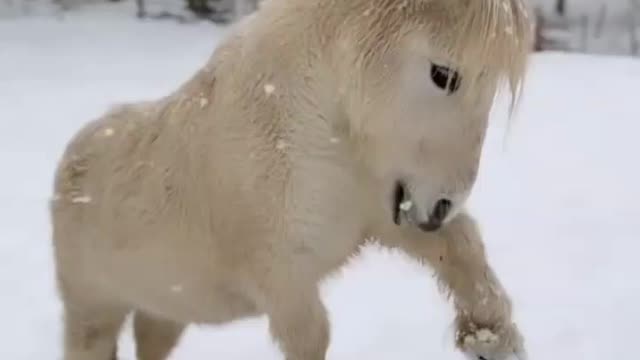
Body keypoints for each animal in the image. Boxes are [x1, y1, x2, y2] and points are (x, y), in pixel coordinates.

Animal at [48, 0, 528, 360]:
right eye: (444, 75)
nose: (441, 207)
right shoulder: (281, 278)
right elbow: (311, 337)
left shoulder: (382, 216)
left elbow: (462, 247)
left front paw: (489, 337)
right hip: (93, 311)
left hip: (165, 310)